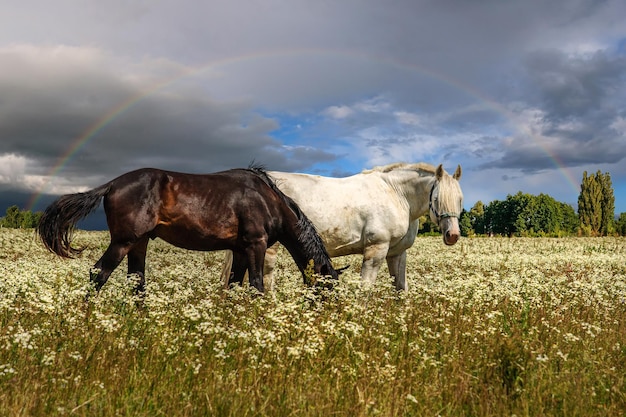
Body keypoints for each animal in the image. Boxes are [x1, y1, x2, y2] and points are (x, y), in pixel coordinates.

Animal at [36, 164, 338, 294]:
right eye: (328, 288)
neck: (268, 199)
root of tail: (111, 184)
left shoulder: (240, 250)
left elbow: (232, 287)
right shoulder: (256, 245)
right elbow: (256, 286)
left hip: (139, 243)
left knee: (137, 281)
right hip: (123, 242)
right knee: (98, 273)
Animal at [219, 162, 458, 290]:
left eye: (459, 198)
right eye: (437, 198)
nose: (453, 235)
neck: (396, 194)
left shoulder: (397, 253)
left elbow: (400, 288)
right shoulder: (376, 250)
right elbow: (366, 289)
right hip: (269, 248)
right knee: (266, 280)